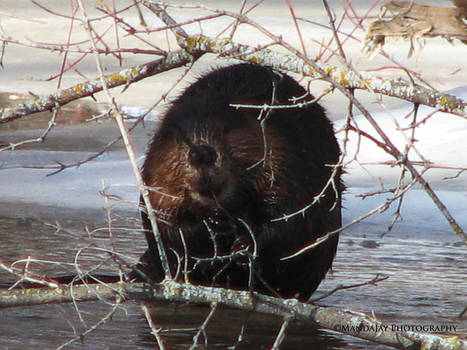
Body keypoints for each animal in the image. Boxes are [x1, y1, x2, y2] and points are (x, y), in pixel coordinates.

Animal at [133, 63, 344, 300]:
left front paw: (244, 244)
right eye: (179, 139)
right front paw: (213, 228)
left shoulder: (288, 154)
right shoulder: (155, 175)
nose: (201, 154)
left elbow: (293, 216)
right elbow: (161, 220)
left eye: (227, 130)